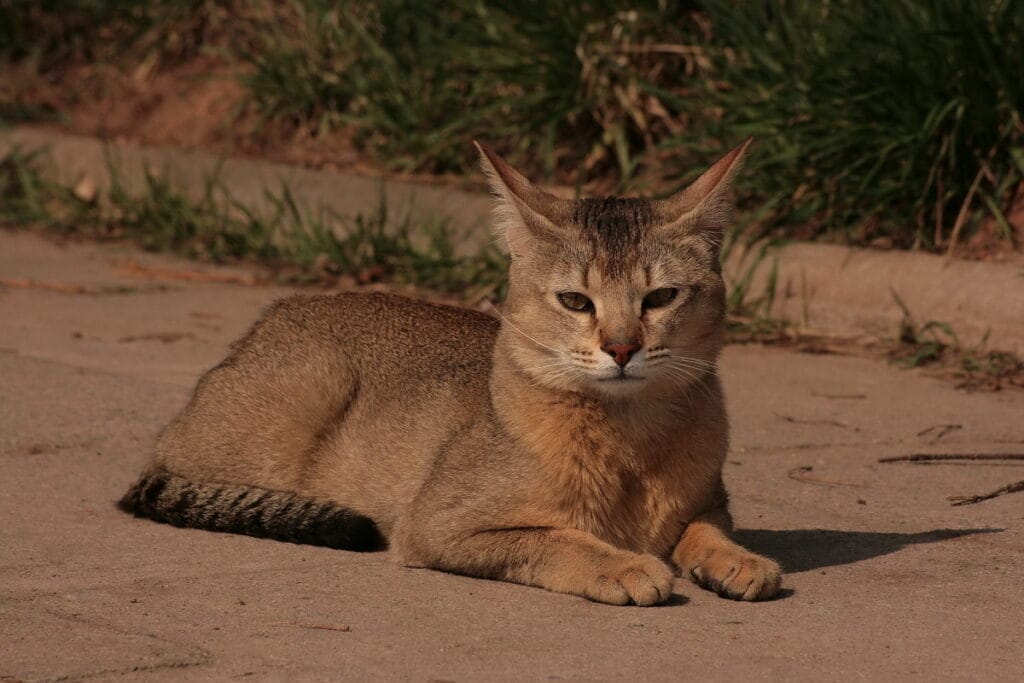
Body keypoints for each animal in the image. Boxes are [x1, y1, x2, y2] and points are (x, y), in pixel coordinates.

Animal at [123, 139, 786, 602]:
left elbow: (706, 529)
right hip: (301, 396)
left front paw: (736, 560)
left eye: (660, 298)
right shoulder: (436, 526)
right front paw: (620, 564)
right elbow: (550, 538)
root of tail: (276, 313)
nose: (622, 349)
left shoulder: (710, 502)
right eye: (576, 301)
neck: (630, 442)